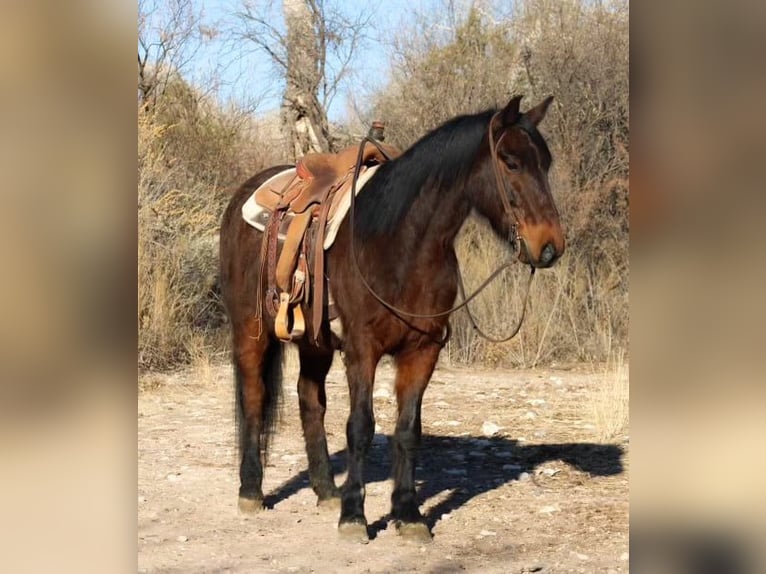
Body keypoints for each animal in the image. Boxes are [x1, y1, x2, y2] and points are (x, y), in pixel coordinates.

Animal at [219, 95, 565, 543]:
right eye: (510, 161)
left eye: (546, 162)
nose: (551, 246)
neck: (400, 242)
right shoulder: (362, 350)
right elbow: (360, 427)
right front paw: (353, 515)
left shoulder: (423, 350)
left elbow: (407, 429)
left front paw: (408, 513)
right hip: (250, 332)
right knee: (254, 398)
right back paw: (251, 491)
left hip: (315, 343)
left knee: (310, 401)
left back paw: (326, 490)